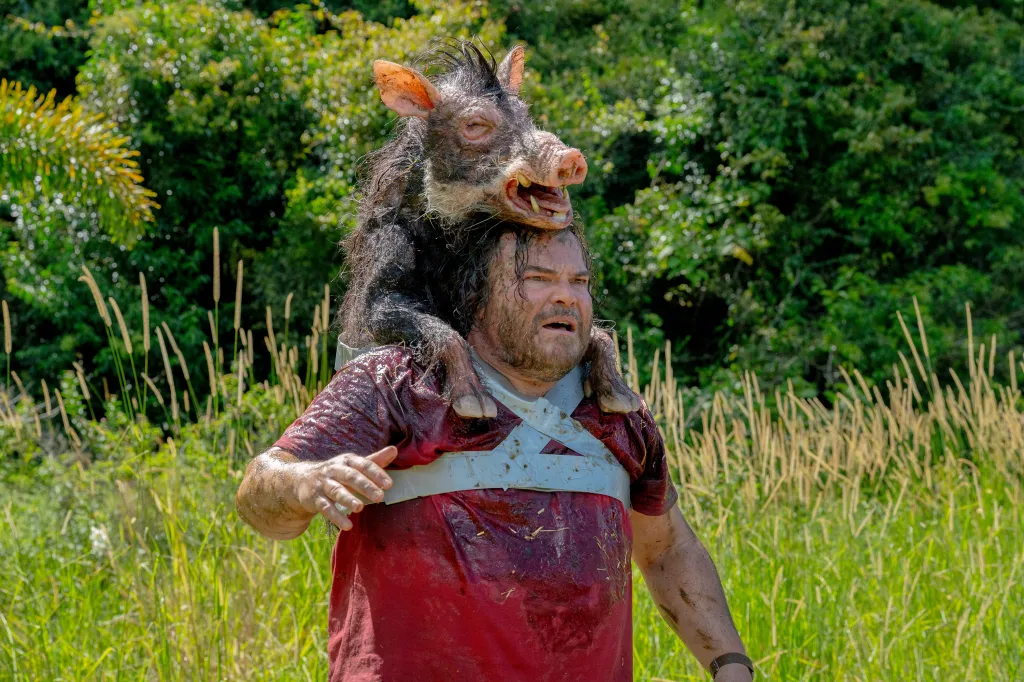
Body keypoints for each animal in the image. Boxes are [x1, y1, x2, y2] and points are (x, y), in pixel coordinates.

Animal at [339, 41, 640, 418]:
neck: (451, 240)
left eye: (526, 115)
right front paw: (475, 407)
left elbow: (600, 334)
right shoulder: (383, 269)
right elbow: (443, 332)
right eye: (475, 124)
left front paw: (624, 402)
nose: (570, 156)